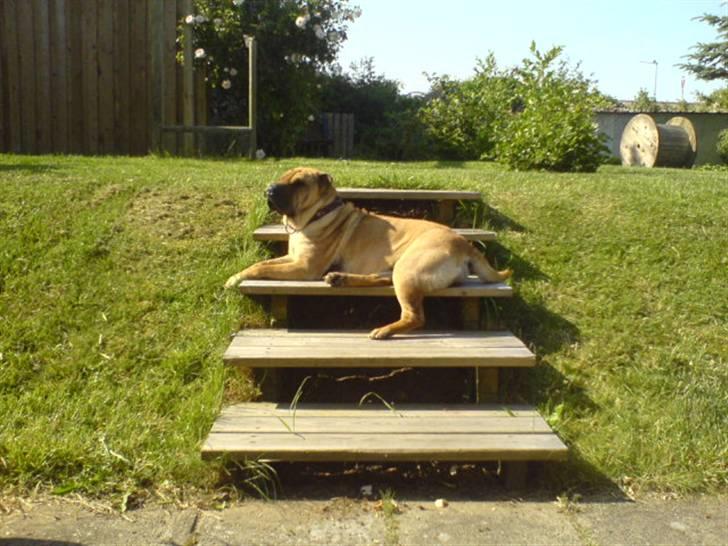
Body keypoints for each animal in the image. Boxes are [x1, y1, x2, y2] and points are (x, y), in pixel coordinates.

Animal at [223, 166, 512, 338]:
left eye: (298, 183)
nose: (269, 189)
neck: (318, 213)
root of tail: (465, 243)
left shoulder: (304, 268)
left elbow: (262, 267)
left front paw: (233, 280)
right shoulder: (292, 258)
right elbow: (260, 264)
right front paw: (236, 275)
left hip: (408, 269)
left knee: (414, 316)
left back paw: (384, 330)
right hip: (398, 269)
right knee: (382, 279)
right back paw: (340, 279)